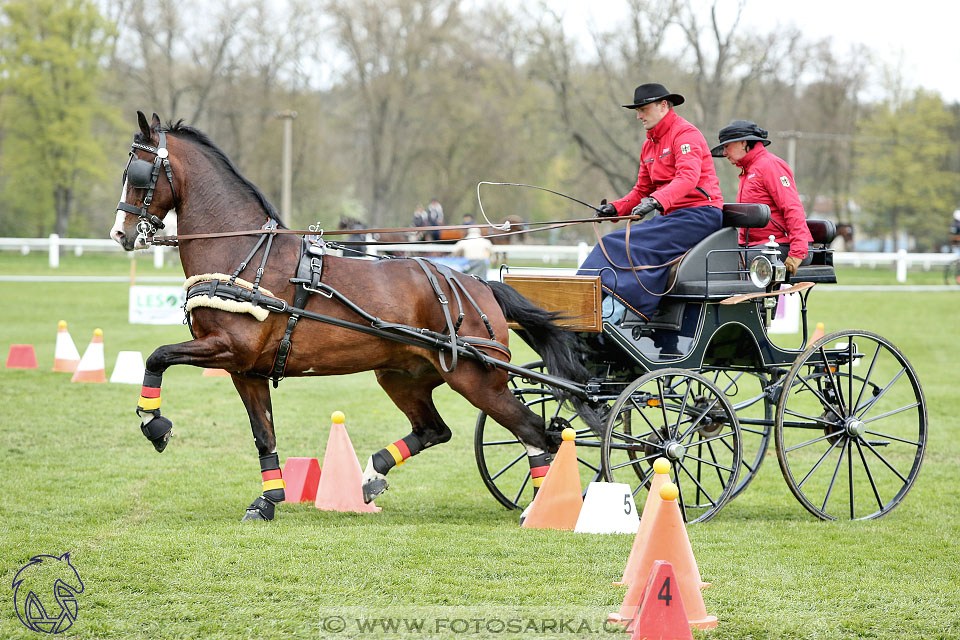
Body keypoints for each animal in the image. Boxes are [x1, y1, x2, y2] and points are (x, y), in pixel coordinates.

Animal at [105, 114, 584, 520]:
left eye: (138, 174)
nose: (120, 234)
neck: (246, 253)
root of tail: (479, 285)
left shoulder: (226, 348)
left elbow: (157, 355)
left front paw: (155, 424)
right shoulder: (245, 369)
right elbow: (264, 433)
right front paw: (268, 500)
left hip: (477, 379)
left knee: (536, 431)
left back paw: (539, 508)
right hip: (402, 376)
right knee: (436, 430)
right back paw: (372, 475)